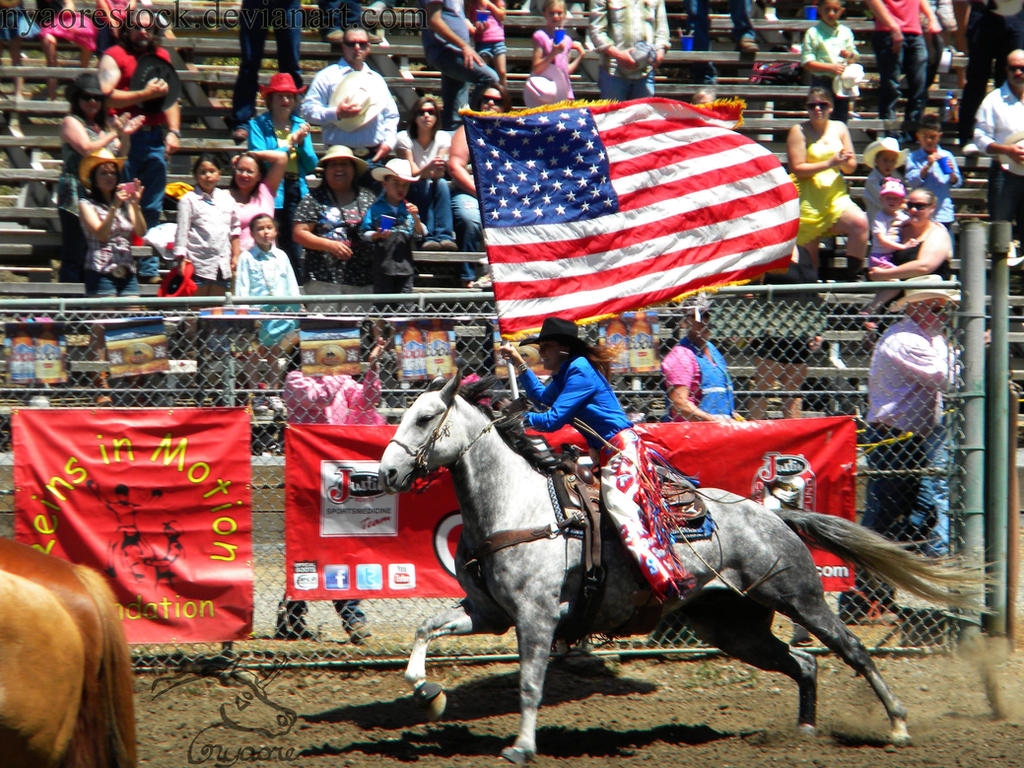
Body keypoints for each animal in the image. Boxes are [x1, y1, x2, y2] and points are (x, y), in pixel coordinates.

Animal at [380, 370, 978, 765]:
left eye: (426, 417)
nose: (384, 472)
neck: (516, 507)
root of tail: (771, 512)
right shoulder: (488, 612)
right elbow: (425, 628)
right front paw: (427, 694)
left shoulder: (536, 616)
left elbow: (529, 683)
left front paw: (522, 747)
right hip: (733, 626)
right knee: (804, 663)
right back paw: (803, 732)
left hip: (800, 596)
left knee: (850, 650)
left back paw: (897, 724)